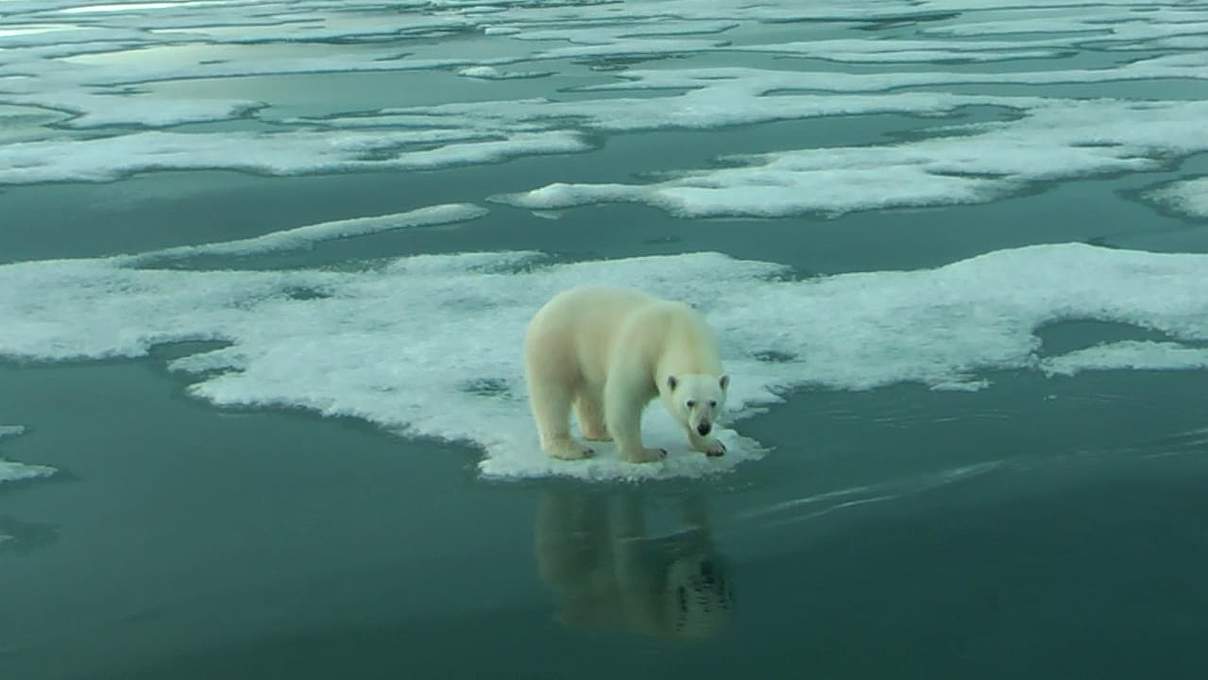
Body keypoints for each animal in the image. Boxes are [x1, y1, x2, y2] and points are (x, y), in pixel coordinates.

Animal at [521, 285, 724, 466]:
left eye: (713, 402)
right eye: (689, 403)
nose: (703, 427)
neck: (680, 332)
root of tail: (545, 308)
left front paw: (714, 445)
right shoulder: (642, 352)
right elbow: (625, 400)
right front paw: (648, 453)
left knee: (590, 394)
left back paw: (601, 432)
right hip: (555, 347)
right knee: (552, 396)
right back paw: (573, 448)